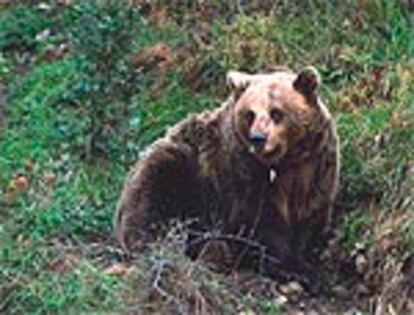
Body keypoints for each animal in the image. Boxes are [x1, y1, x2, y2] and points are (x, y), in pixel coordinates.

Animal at [114, 66, 340, 284]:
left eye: (276, 112)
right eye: (250, 114)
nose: (258, 138)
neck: (283, 163)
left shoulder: (315, 168)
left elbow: (308, 217)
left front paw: (304, 264)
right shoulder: (241, 173)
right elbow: (262, 221)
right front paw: (289, 268)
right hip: (180, 170)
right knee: (153, 195)